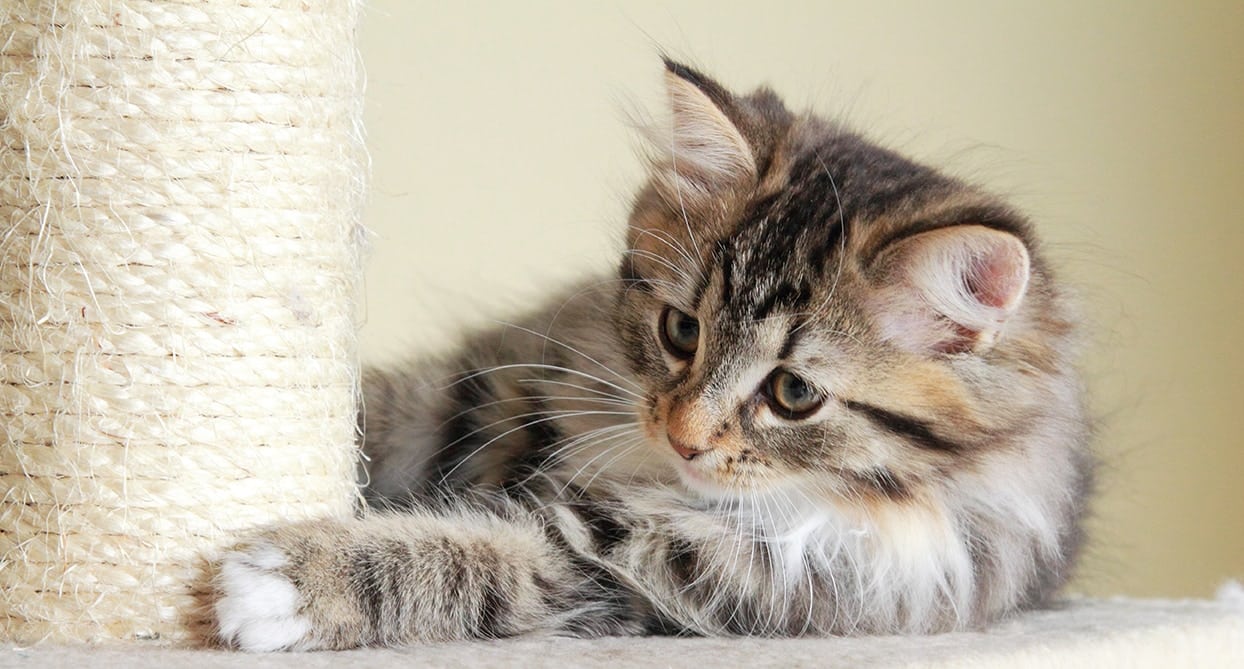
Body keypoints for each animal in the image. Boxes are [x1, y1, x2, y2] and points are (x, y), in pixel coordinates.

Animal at [218, 59, 1094, 646]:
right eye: (681, 331)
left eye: (794, 394)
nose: (685, 436)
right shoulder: (502, 382)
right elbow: (393, 409)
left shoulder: (685, 570)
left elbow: (494, 546)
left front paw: (292, 583)